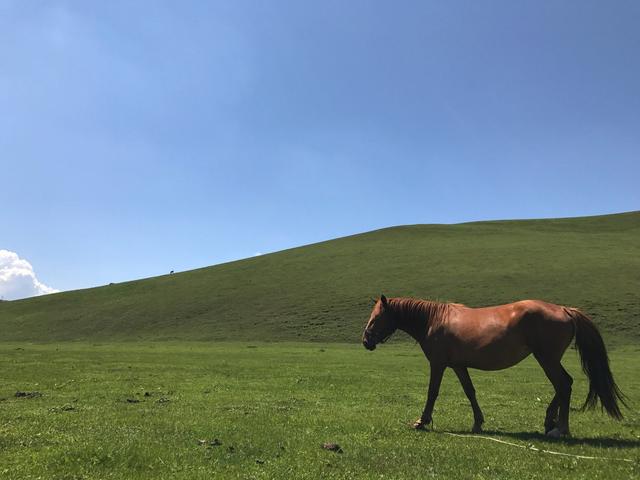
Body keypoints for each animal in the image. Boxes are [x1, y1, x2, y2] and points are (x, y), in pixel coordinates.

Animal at [362, 294, 628, 436]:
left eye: (376, 318)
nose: (365, 341)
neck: (434, 320)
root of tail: (564, 309)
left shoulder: (438, 364)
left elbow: (432, 392)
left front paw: (421, 421)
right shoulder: (458, 366)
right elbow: (470, 392)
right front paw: (478, 422)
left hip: (547, 358)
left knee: (563, 385)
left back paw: (560, 428)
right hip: (547, 359)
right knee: (564, 385)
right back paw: (549, 421)